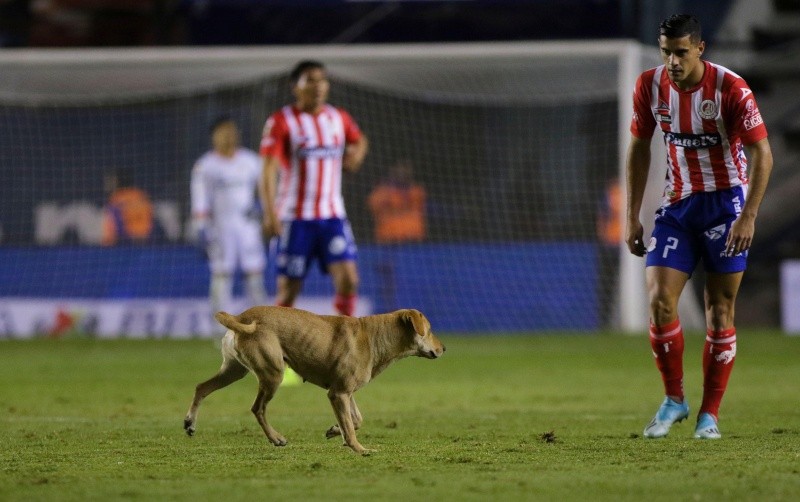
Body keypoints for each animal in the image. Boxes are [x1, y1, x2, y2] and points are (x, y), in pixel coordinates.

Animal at [184, 306, 445, 454]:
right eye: (430, 329)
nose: (444, 348)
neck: (373, 337)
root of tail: (243, 317)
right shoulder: (338, 393)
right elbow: (351, 426)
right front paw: (360, 449)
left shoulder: (344, 392)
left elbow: (356, 420)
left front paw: (335, 431)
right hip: (272, 374)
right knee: (258, 409)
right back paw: (276, 438)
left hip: (234, 370)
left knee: (201, 387)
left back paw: (190, 423)